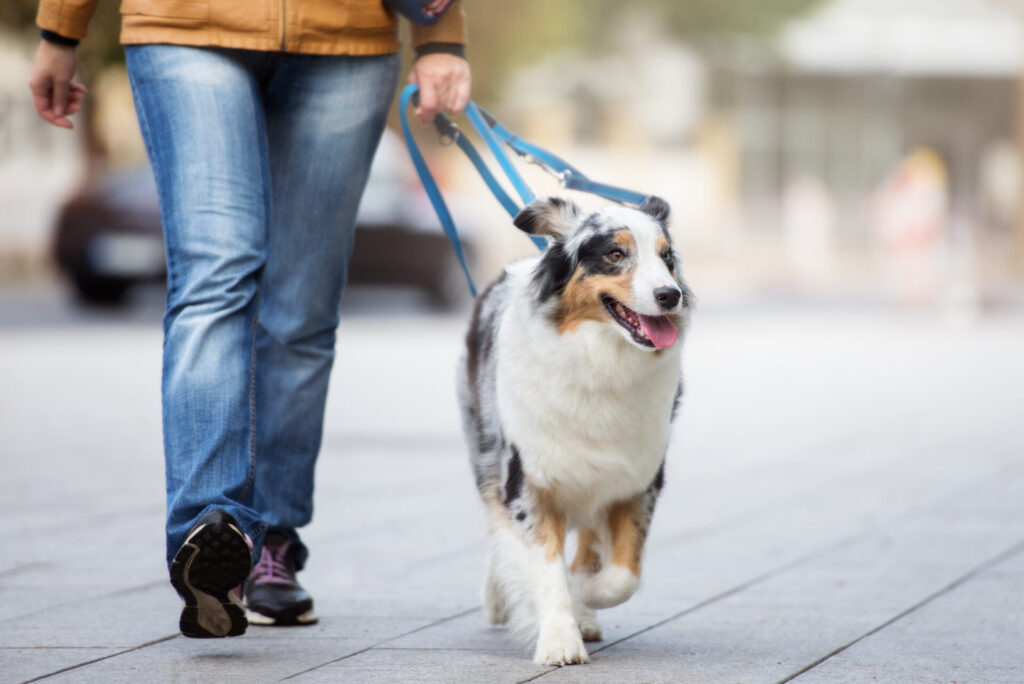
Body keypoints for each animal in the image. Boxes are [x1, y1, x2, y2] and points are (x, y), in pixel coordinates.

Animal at [458, 192, 692, 663]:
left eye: (667, 257)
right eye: (616, 254)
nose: (669, 295)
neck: (599, 360)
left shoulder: (636, 479)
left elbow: (622, 573)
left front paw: (586, 595)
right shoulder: (526, 480)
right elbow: (545, 569)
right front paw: (559, 641)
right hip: (486, 450)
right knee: (497, 523)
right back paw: (499, 597)